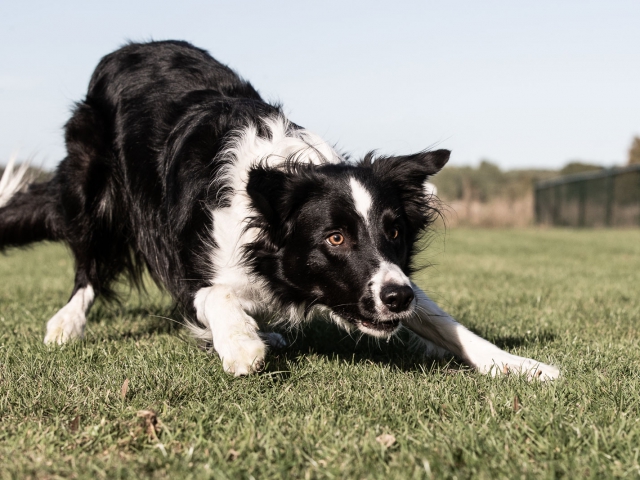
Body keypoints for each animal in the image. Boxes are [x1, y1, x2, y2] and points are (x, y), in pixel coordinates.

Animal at [0, 41, 556, 378]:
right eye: (335, 238)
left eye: (394, 231)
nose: (398, 298)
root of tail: (128, 49)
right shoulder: (189, 259)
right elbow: (212, 296)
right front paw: (240, 344)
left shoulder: (383, 281)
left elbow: (447, 324)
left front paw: (522, 366)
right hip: (90, 184)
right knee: (86, 261)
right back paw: (67, 322)